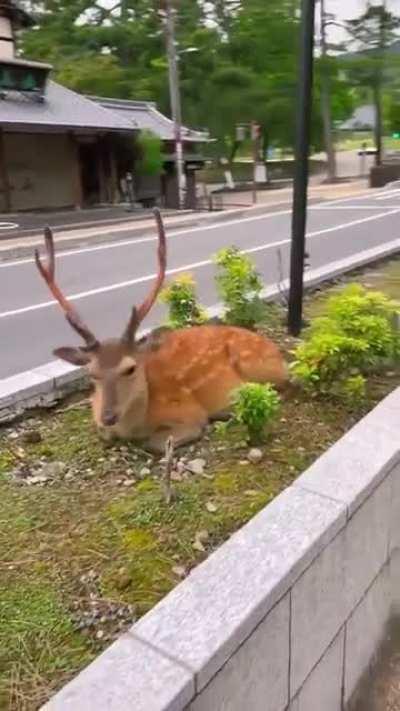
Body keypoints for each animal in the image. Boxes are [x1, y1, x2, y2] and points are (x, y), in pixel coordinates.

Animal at [35, 210, 288, 453]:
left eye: (130, 368)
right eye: (91, 373)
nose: (108, 417)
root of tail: (278, 353)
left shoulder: (189, 413)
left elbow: (155, 443)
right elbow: (104, 434)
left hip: (256, 364)